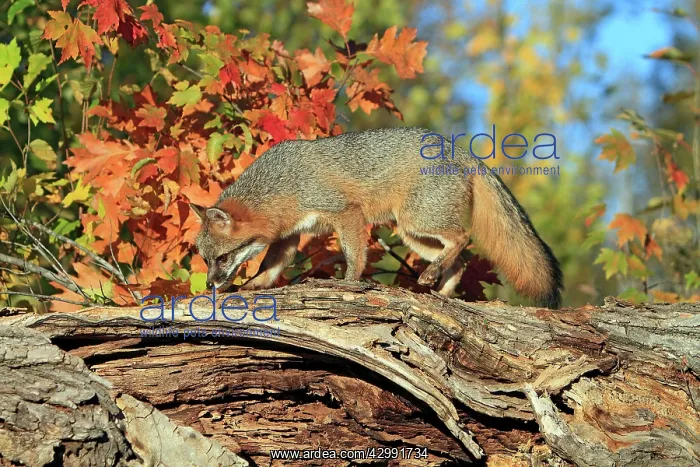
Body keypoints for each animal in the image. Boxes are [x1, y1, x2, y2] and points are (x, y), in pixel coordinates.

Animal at [192, 127, 563, 308]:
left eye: (222, 258)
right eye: (206, 260)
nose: (210, 284)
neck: (284, 184)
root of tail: (456, 146)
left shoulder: (346, 213)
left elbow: (355, 256)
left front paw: (349, 283)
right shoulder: (290, 235)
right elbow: (269, 270)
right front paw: (250, 287)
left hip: (417, 221)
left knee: (463, 238)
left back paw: (433, 278)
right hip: (412, 233)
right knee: (460, 260)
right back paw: (441, 292)